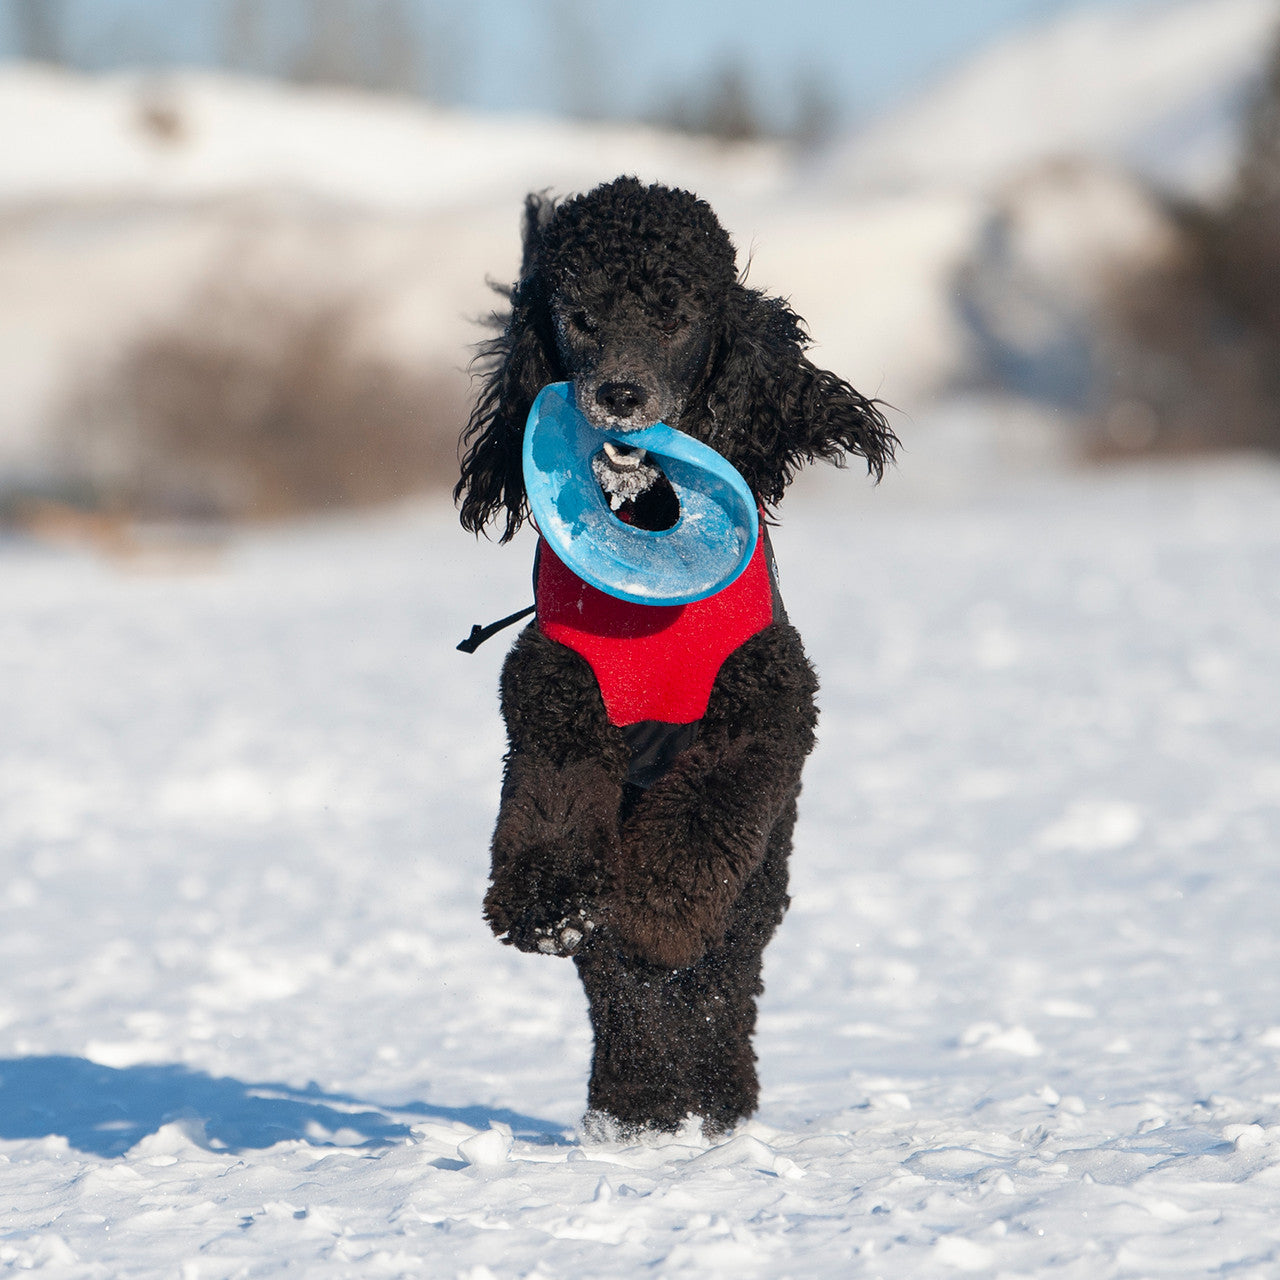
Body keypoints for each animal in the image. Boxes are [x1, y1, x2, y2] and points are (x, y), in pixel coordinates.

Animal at [455, 172, 896, 1141]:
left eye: (676, 316)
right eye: (578, 315)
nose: (618, 395)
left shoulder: (765, 709)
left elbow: (700, 832)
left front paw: (660, 906)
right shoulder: (557, 698)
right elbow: (552, 803)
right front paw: (546, 906)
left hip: (764, 870)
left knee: (722, 974)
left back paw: (714, 1102)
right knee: (624, 990)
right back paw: (637, 1108)